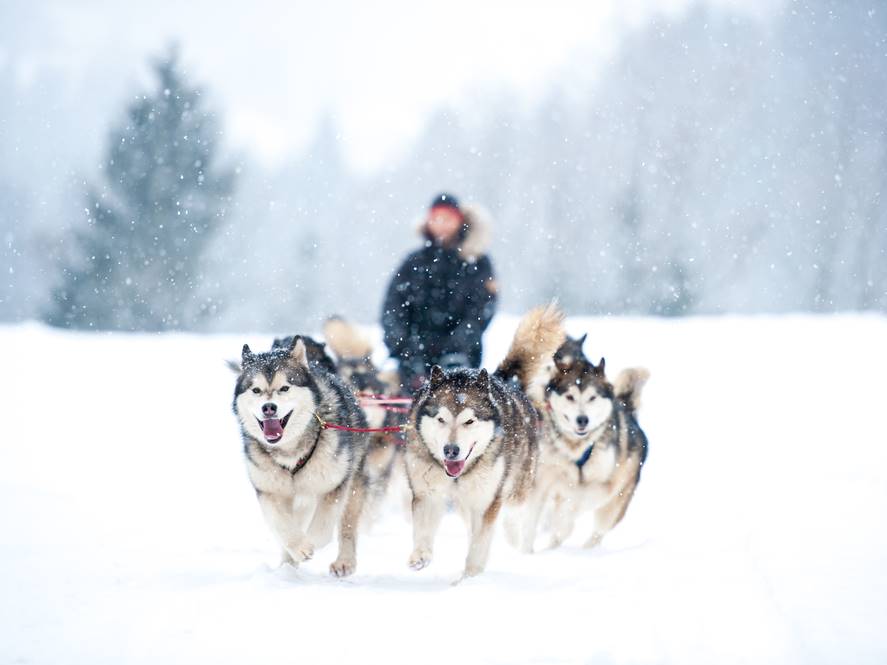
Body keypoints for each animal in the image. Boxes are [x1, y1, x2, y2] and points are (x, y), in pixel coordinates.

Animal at [232, 338, 368, 576]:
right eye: (256, 390)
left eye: (285, 388)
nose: (269, 407)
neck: (289, 452)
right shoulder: (269, 491)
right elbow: (283, 525)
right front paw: (298, 548)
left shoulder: (335, 485)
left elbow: (323, 528)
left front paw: (311, 542)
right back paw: (287, 566)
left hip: (352, 484)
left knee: (347, 525)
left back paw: (344, 561)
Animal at [404, 304, 564, 580]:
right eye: (441, 419)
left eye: (469, 421)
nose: (451, 450)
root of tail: (501, 380)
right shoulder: (427, 492)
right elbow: (424, 529)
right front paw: (420, 556)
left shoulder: (486, 500)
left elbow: (480, 543)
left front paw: (470, 576)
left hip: (516, 487)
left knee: (513, 515)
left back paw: (513, 539)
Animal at [520, 338, 652, 548]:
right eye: (570, 396)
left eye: (592, 397)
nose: (582, 420)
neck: (576, 447)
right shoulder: (542, 479)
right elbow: (530, 523)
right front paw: (524, 550)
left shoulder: (602, 486)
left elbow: (572, 506)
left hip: (613, 505)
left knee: (596, 532)